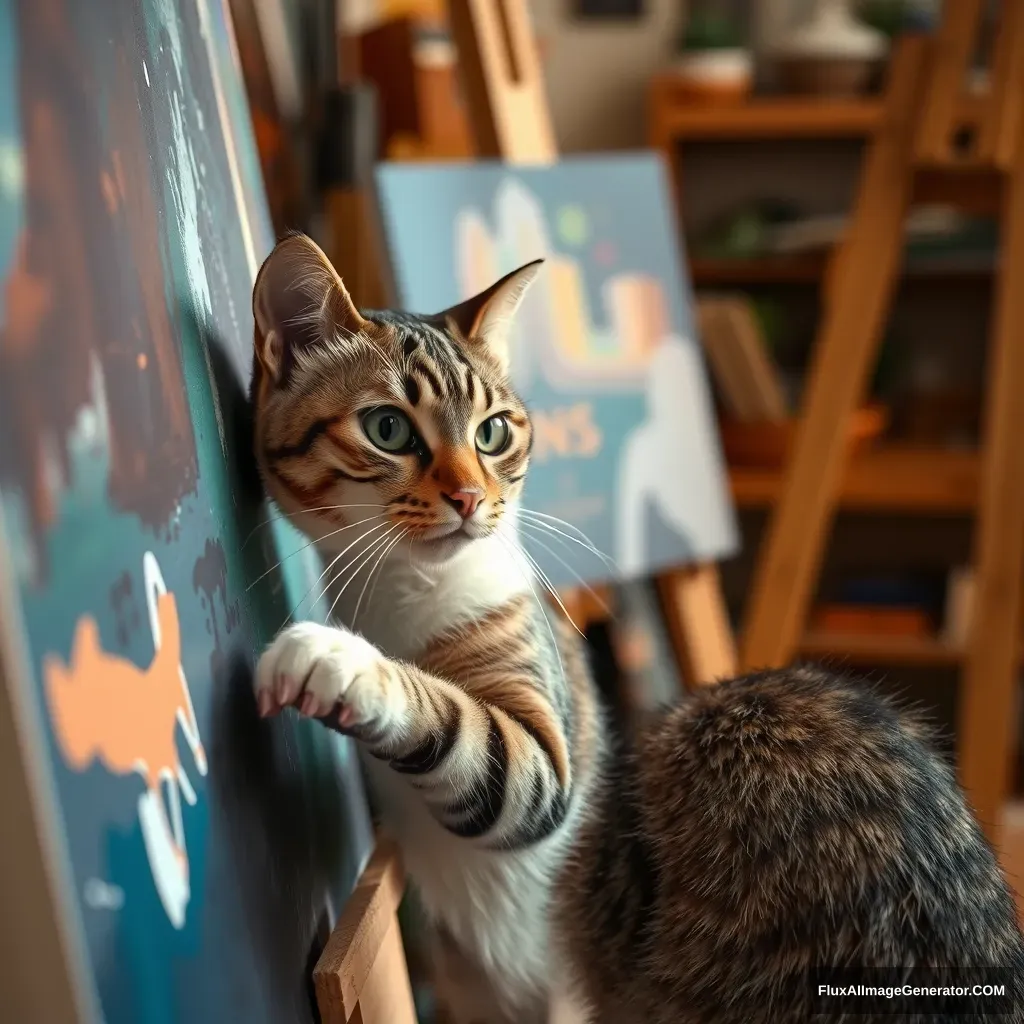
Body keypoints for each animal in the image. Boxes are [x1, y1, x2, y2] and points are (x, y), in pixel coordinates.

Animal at [249, 234, 1024, 1024]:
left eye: (492, 432)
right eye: (388, 428)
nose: (469, 497)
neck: (403, 591)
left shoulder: (542, 751)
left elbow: (473, 733)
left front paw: (337, 660)